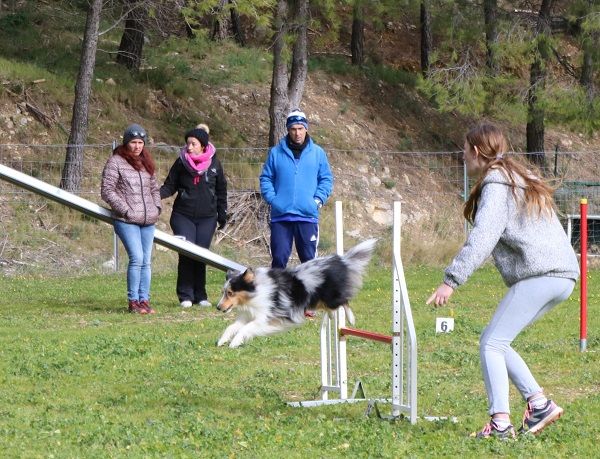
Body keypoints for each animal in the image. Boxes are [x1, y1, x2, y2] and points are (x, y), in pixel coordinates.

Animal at [214, 241, 376, 348]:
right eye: (223, 292)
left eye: (230, 293)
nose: (218, 307)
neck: (255, 292)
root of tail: (340, 260)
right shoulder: (247, 315)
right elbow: (232, 327)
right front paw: (222, 340)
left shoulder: (266, 317)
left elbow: (246, 328)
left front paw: (235, 342)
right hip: (317, 300)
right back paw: (331, 315)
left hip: (329, 296)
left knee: (344, 301)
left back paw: (351, 319)